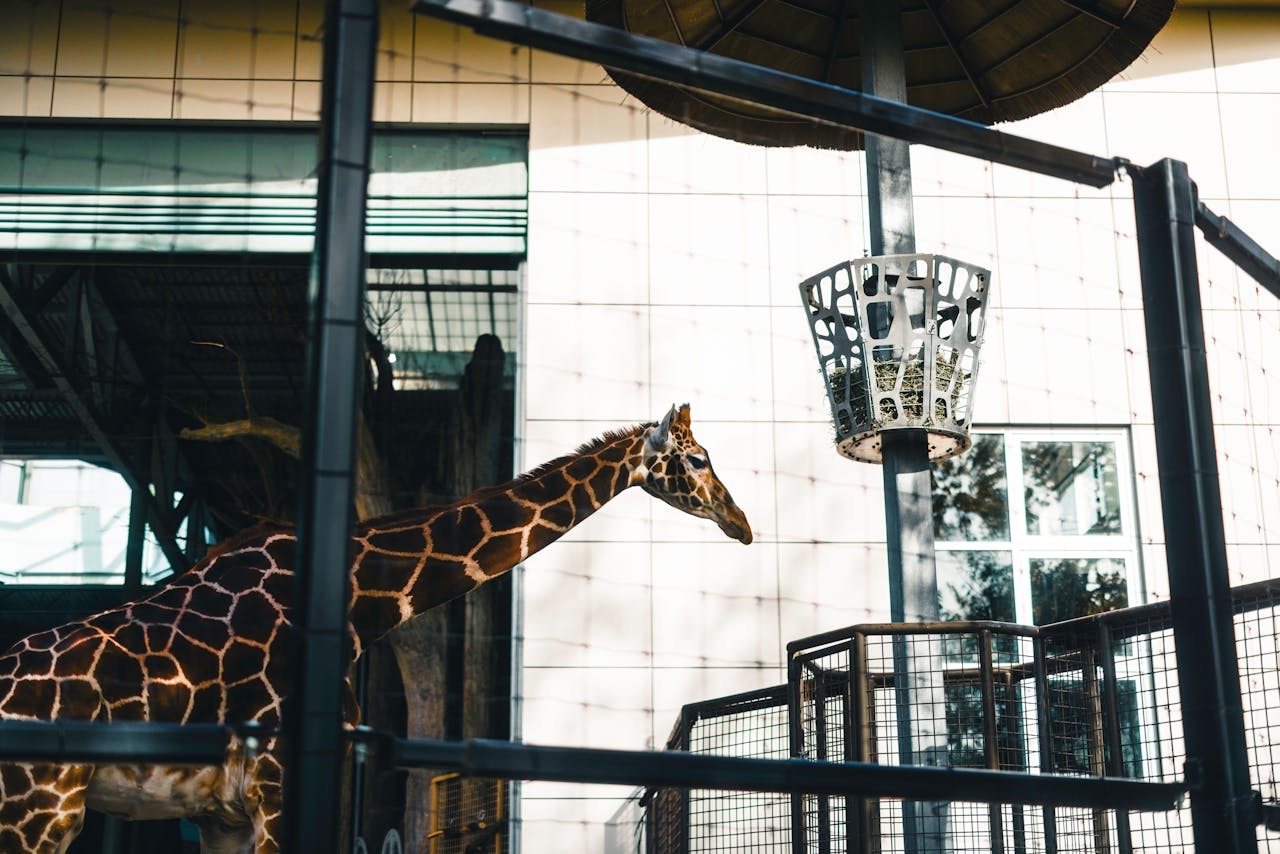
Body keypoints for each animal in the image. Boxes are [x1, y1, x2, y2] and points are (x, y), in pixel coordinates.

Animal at [0, 403, 751, 854]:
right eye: (698, 458)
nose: (742, 523)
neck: (361, 598)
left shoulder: (224, 812)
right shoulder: (277, 783)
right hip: (39, 809)